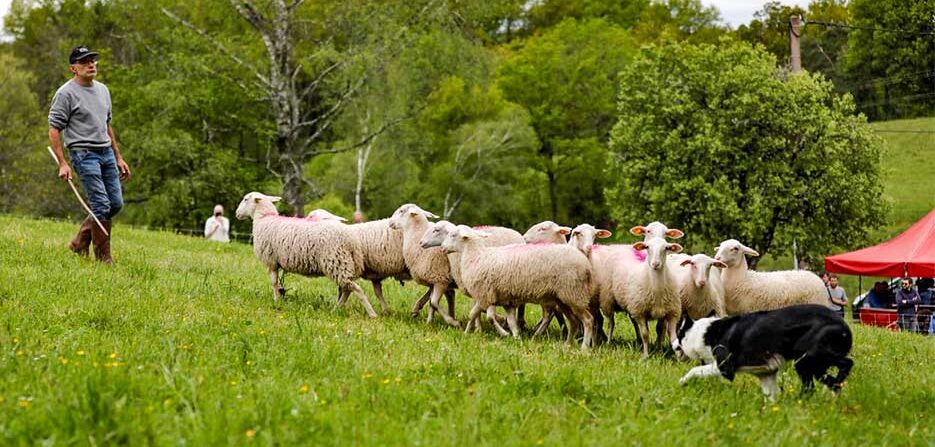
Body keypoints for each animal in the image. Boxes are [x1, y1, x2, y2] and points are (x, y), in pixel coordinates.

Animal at [236, 191, 382, 316]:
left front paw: (276, 300)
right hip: (343, 264)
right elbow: (278, 283)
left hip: (336, 262)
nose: (237, 214)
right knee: (347, 289)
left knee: (355, 289)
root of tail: (352, 240)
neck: (264, 219)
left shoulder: (271, 261)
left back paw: (372, 314)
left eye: (245, 199)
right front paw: (280, 298)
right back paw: (336, 309)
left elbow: (274, 283)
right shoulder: (275, 262)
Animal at [442, 226, 596, 352]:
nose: (442, 248)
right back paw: (567, 345)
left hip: (574, 294)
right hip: (563, 299)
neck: (475, 256)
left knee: (588, 320)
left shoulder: (485, 295)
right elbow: (501, 319)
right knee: (574, 322)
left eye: (453, 235)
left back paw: (584, 348)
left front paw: (503, 334)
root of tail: (586, 264)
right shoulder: (503, 300)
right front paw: (515, 337)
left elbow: (484, 316)